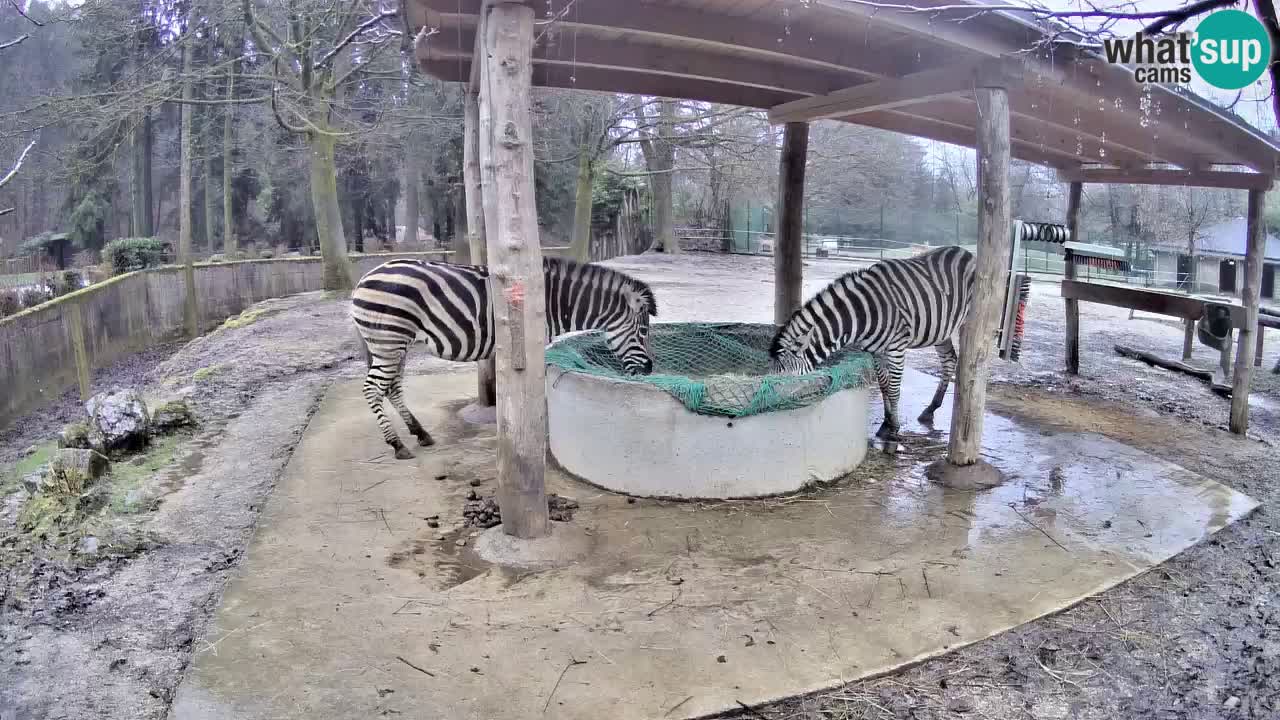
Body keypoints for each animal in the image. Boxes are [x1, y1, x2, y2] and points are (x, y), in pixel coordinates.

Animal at [353, 256, 660, 458]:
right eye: (644, 331)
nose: (649, 370)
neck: (553, 301)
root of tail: (364, 278)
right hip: (389, 340)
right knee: (373, 388)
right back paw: (397, 444)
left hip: (395, 343)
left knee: (392, 387)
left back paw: (420, 433)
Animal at [762, 243, 972, 440]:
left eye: (787, 380)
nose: (767, 408)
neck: (862, 314)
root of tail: (964, 251)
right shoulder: (874, 350)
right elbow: (884, 384)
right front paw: (886, 423)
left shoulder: (897, 347)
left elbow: (894, 389)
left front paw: (894, 429)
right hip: (942, 331)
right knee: (949, 361)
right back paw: (930, 410)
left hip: (967, 321)